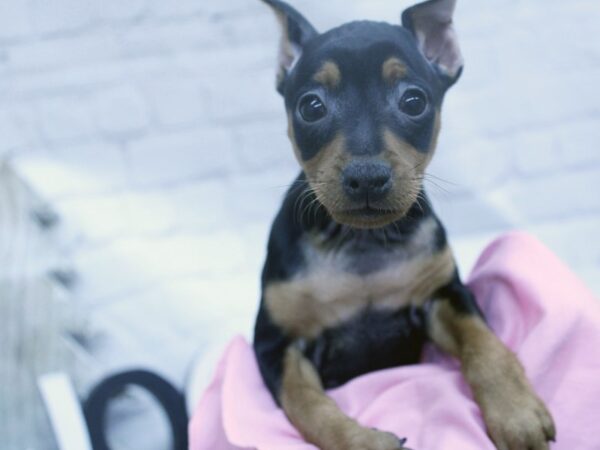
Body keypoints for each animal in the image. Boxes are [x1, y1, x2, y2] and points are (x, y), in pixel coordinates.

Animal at [251, 1, 556, 448]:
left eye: (414, 101)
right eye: (311, 107)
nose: (366, 177)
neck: (362, 241)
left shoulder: (443, 295)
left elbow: (484, 343)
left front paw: (515, 412)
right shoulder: (276, 345)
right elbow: (308, 405)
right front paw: (364, 441)